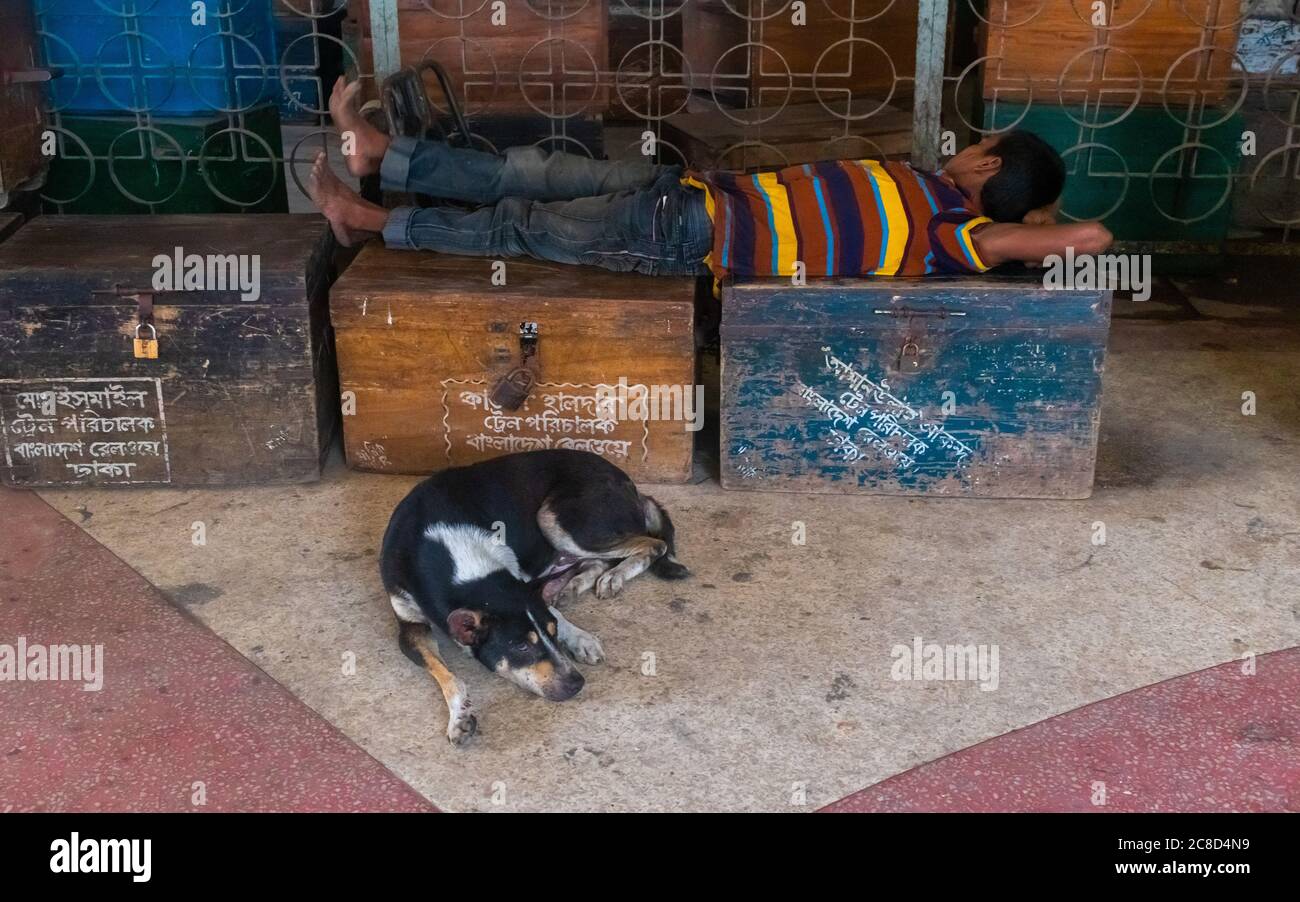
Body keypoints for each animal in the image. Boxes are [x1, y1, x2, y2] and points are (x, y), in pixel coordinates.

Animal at [379, 449, 686, 743]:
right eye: (521, 647)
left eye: (552, 631)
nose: (577, 683)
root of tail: (632, 486)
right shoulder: (410, 628)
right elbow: (447, 675)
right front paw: (459, 717)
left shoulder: (521, 580)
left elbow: (548, 608)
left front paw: (579, 638)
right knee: (598, 560)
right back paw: (575, 584)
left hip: (555, 519)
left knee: (653, 545)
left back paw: (614, 576)